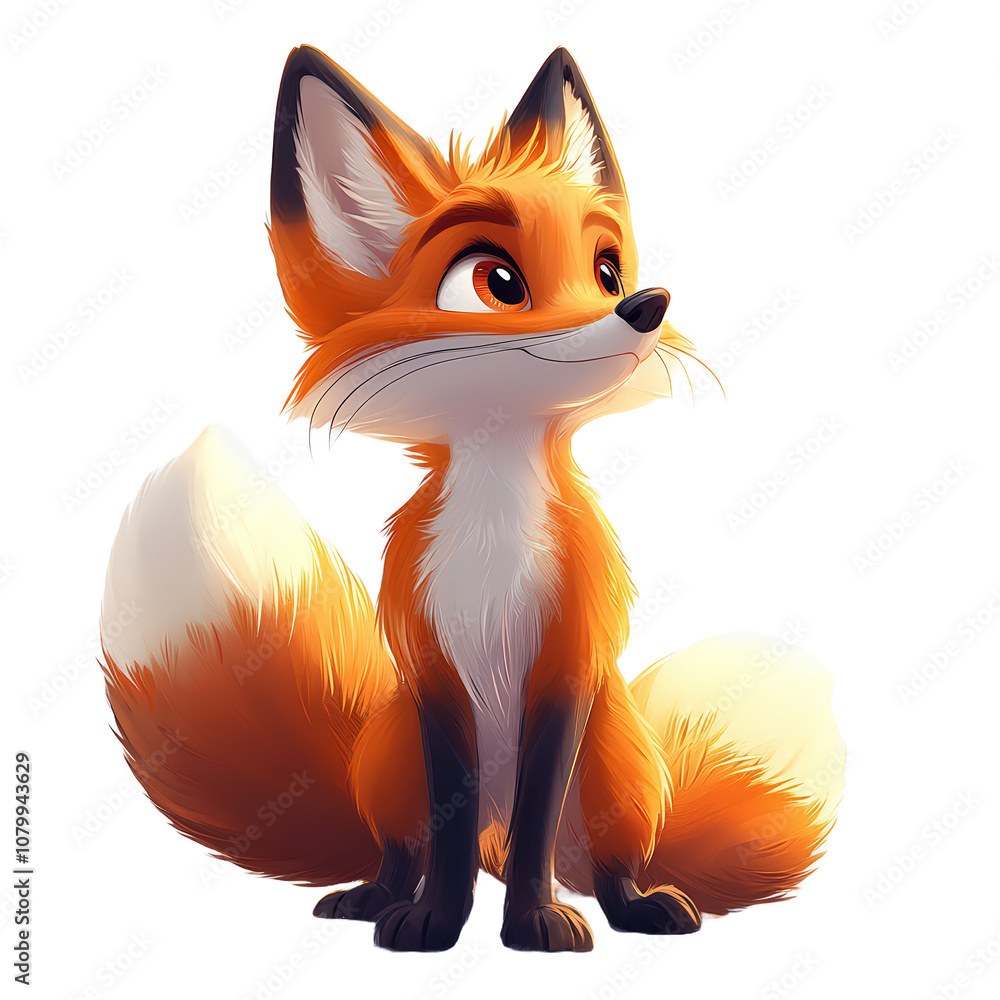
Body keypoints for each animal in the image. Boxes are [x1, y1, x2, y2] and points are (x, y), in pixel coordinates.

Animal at [100, 45, 844, 953]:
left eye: (607, 270)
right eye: (496, 281)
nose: (646, 305)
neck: (494, 533)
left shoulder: (565, 668)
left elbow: (535, 827)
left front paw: (532, 924)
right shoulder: (435, 675)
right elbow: (447, 839)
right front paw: (434, 922)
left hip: (621, 770)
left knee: (591, 860)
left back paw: (636, 905)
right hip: (389, 760)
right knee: (409, 849)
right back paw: (377, 896)